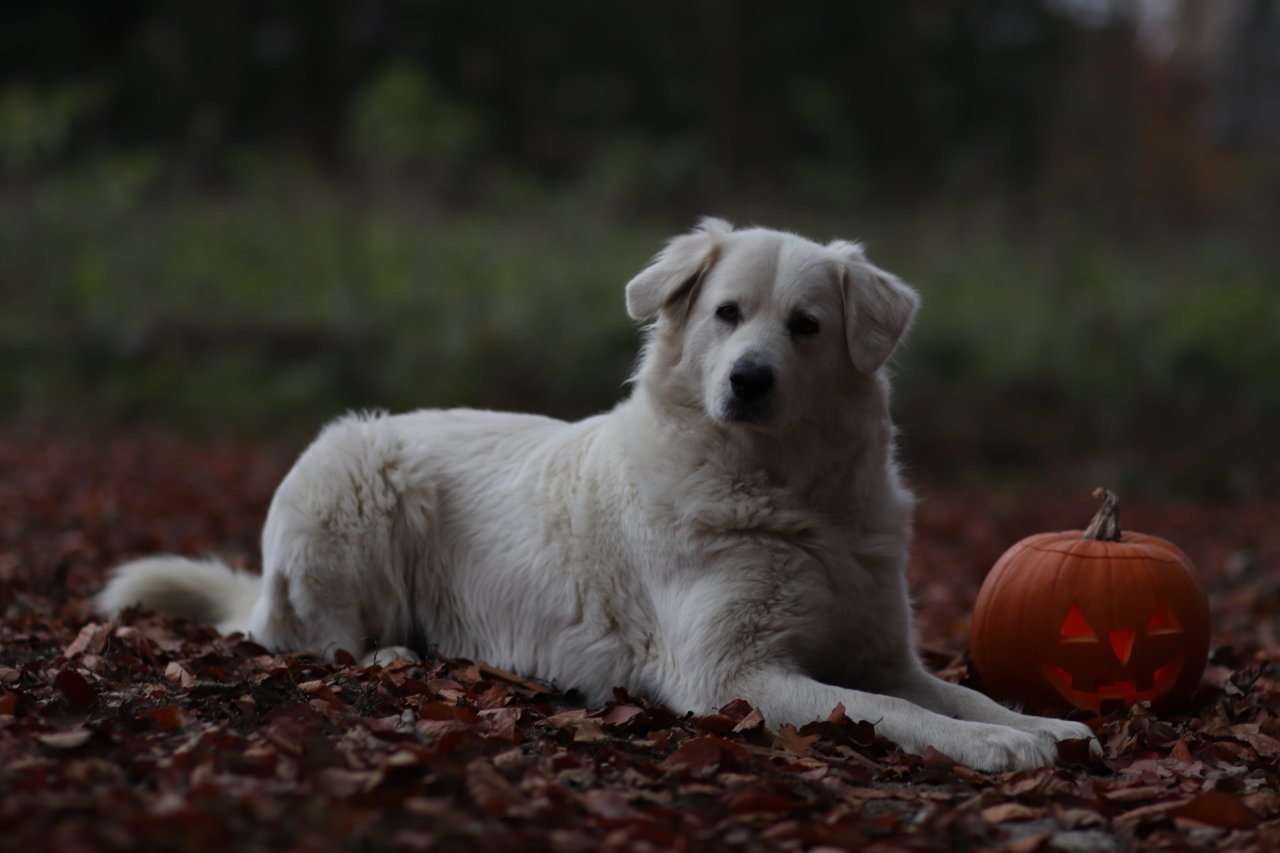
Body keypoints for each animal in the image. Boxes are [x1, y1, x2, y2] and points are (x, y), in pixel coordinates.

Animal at [99, 216, 1095, 768]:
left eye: (807, 326)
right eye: (728, 313)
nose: (749, 379)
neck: (790, 493)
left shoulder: (882, 652)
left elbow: (951, 695)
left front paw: (1044, 724)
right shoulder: (729, 674)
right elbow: (897, 716)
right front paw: (1001, 749)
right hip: (352, 472)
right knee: (310, 639)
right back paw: (389, 654)